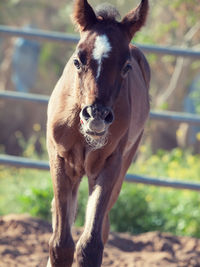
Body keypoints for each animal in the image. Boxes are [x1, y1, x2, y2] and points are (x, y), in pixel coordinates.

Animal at [47, 0, 150, 267]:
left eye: (126, 66)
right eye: (78, 60)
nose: (96, 115)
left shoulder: (110, 165)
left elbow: (90, 244)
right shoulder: (61, 161)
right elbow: (61, 244)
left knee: (102, 225)